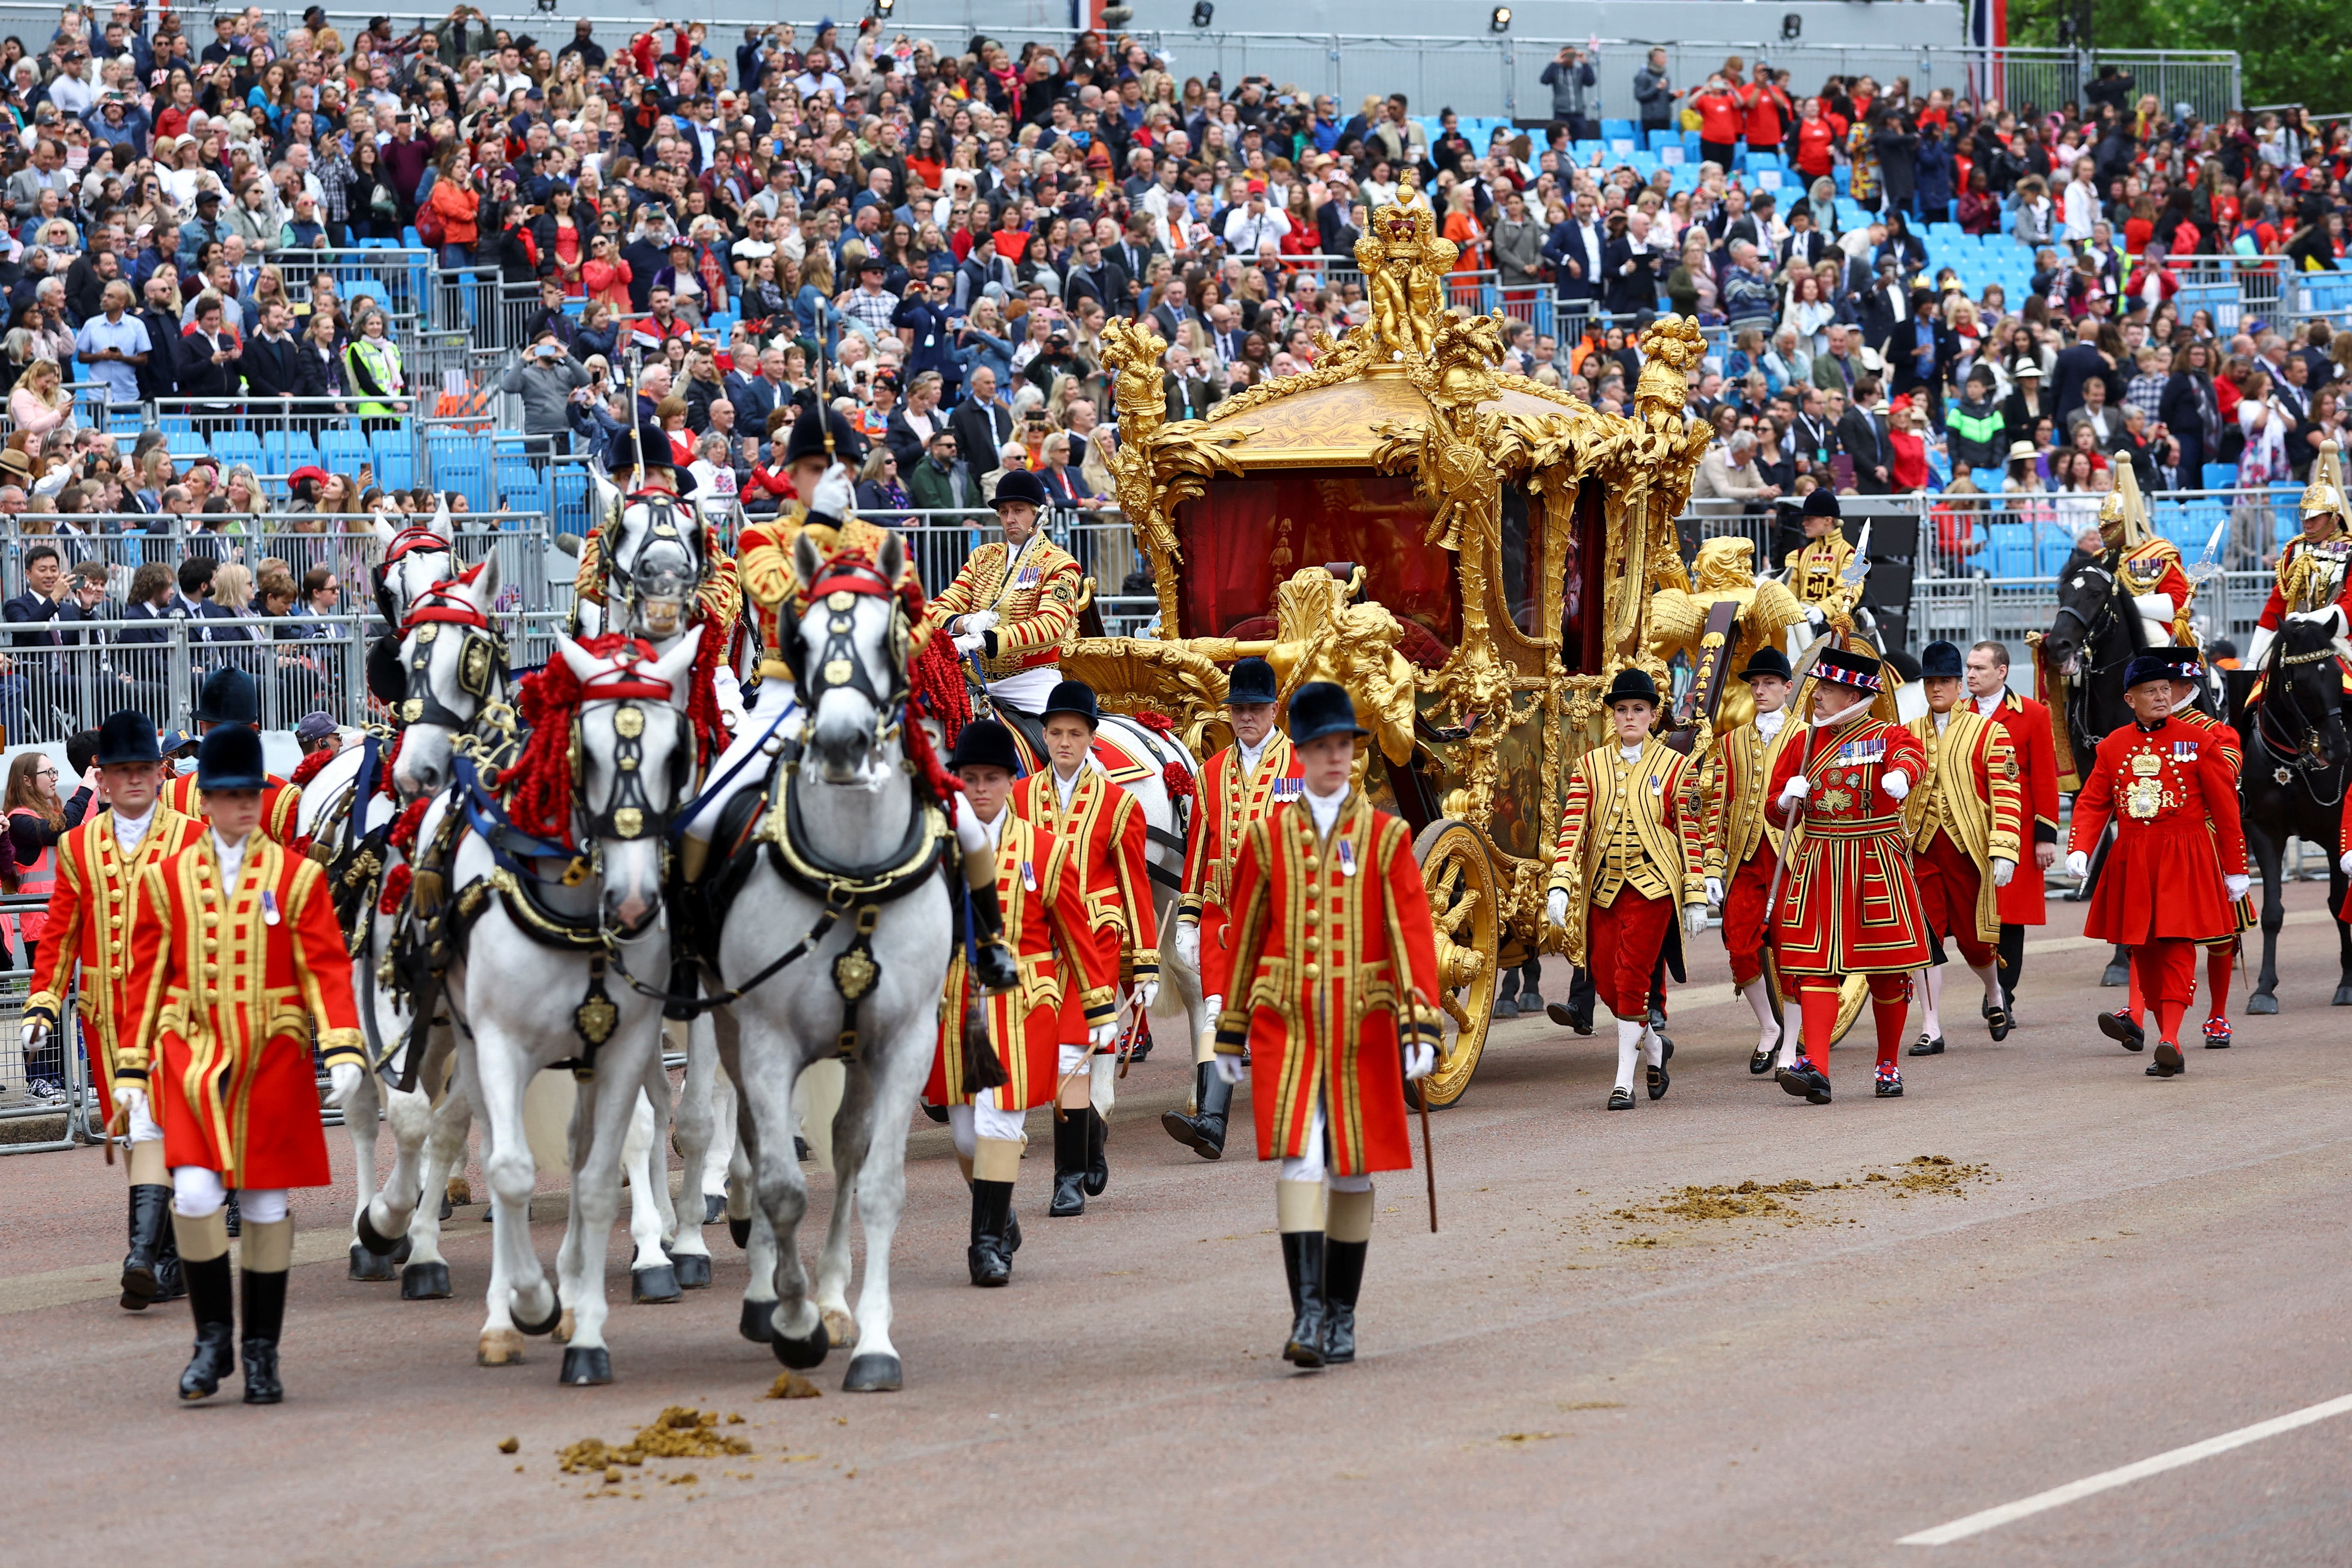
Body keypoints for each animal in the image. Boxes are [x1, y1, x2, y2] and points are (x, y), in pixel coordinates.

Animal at [2220, 620, 2352, 1011]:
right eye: (2302, 681)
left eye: (2337, 674)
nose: (2339, 749)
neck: (2294, 762)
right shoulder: (2266, 832)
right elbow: (2273, 913)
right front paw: (2264, 989)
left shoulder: (2334, 834)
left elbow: (2337, 903)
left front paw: (2347, 984)